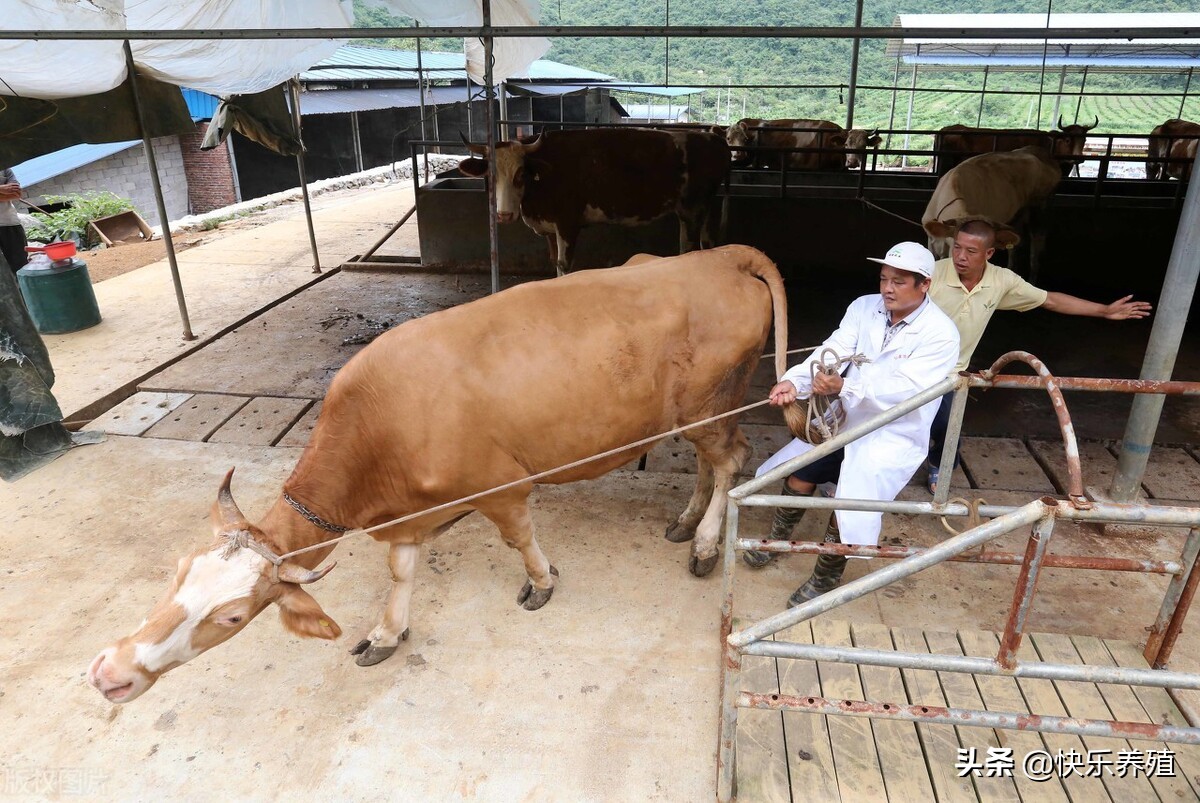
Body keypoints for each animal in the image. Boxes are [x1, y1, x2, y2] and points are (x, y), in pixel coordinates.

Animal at [87, 244, 796, 700]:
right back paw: (686, 520)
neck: (380, 430)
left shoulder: (502, 487)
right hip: (696, 413)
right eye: (178, 572)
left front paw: (542, 582)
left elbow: (520, 541)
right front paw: (386, 632)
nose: (110, 672)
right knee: (711, 461)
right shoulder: (405, 517)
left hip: (710, 404)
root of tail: (718, 256)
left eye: (234, 616)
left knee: (731, 461)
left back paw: (704, 542)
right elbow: (401, 572)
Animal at [453, 126, 724, 276]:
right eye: (490, 175)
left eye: (521, 174)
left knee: (689, 249)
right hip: (705, 209)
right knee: (707, 242)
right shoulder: (550, 228)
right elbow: (554, 261)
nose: (504, 215)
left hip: (691, 210)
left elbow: (564, 265)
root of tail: (712, 138)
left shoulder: (567, 224)